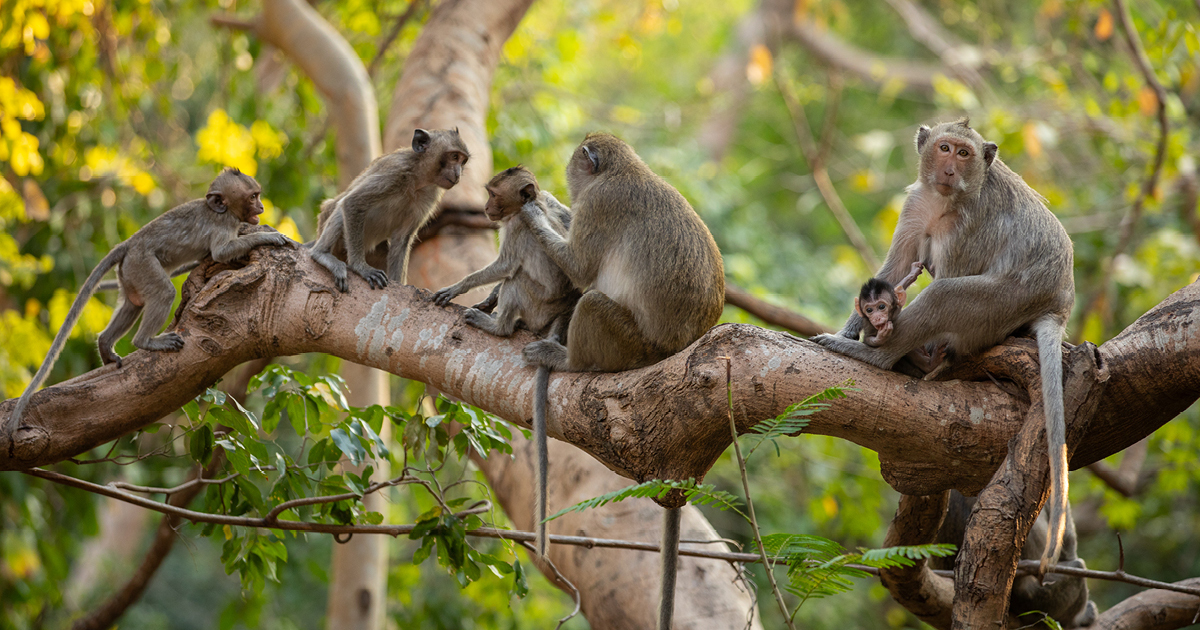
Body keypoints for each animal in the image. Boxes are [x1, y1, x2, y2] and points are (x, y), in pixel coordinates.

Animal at [7, 166, 292, 432]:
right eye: (253, 196)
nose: (261, 206)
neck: (222, 211)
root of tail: (129, 243)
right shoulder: (224, 225)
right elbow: (221, 253)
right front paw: (267, 236)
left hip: (129, 272)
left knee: (133, 304)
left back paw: (105, 345)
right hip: (142, 263)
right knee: (163, 293)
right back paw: (145, 341)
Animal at [309, 128, 468, 295]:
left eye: (463, 161)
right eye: (454, 156)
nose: (458, 174)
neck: (418, 178)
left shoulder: (430, 195)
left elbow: (401, 238)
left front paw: (398, 286)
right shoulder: (394, 172)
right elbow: (353, 202)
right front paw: (361, 268)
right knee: (340, 207)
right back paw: (321, 254)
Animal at [432, 163, 580, 554]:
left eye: (494, 195)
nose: (485, 207)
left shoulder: (517, 227)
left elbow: (505, 266)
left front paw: (462, 288)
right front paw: (487, 299)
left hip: (534, 304)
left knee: (517, 279)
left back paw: (498, 326)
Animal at [516, 132, 720, 628]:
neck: (625, 169)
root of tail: (676, 354)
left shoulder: (600, 204)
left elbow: (579, 266)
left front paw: (534, 212)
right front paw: (550, 204)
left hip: (629, 347)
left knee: (591, 301)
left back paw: (566, 359)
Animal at [806, 116, 1080, 573]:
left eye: (965, 154)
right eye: (945, 148)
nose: (950, 169)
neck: (945, 199)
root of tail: (1058, 305)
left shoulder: (970, 225)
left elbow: (945, 275)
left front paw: (885, 336)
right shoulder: (916, 204)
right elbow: (894, 267)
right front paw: (853, 325)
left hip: (1003, 303)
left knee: (946, 295)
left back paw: (887, 357)